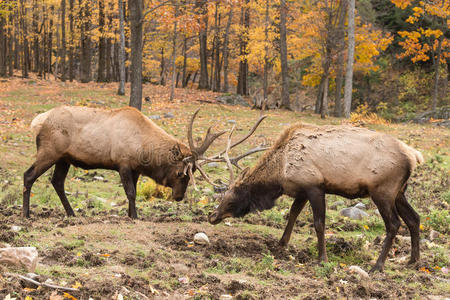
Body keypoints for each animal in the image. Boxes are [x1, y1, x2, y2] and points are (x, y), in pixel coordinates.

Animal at [23, 105, 264, 218]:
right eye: (181, 173)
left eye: (191, 175)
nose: (179, 197)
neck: (143, 149)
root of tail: (38, 121)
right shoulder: (123, 163)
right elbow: (130, 192)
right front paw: (135, 216)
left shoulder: (136, 169)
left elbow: (134, 192)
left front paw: (131, 214)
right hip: (49, 152)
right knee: (29, 175)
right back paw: (26, 214)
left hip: (64, 158)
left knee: (57, 182)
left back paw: (71, 213)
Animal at [209, 122, 424, 272]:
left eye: (230, 199)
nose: (212, 216)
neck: (281, 172)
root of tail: (414, 156)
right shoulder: (302, 190)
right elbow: (293, 214)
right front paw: (281, 244)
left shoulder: (314, 186)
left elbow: (319, 223)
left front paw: (322, 259)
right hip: (399, 192)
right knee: (414, 219)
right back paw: (413, 261)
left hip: (382, 191)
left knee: (394, 224)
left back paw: (377, 266)